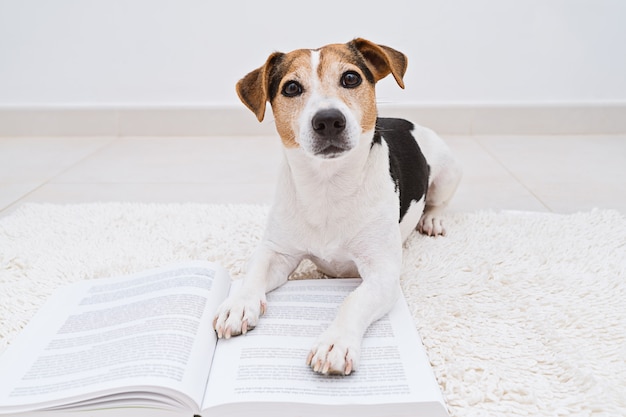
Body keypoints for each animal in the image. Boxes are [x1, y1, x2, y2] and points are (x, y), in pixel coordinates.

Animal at [212, 39, 460, 376]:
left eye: (351, 78)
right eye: (291, 87)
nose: (328, 119)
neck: (327, 186)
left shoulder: (382, 273)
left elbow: (352, 301)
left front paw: (335, 343)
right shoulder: (277, 251)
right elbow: (254, 274)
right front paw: (237, 305)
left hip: (448, 170)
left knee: (438, 202)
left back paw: (432, 220)